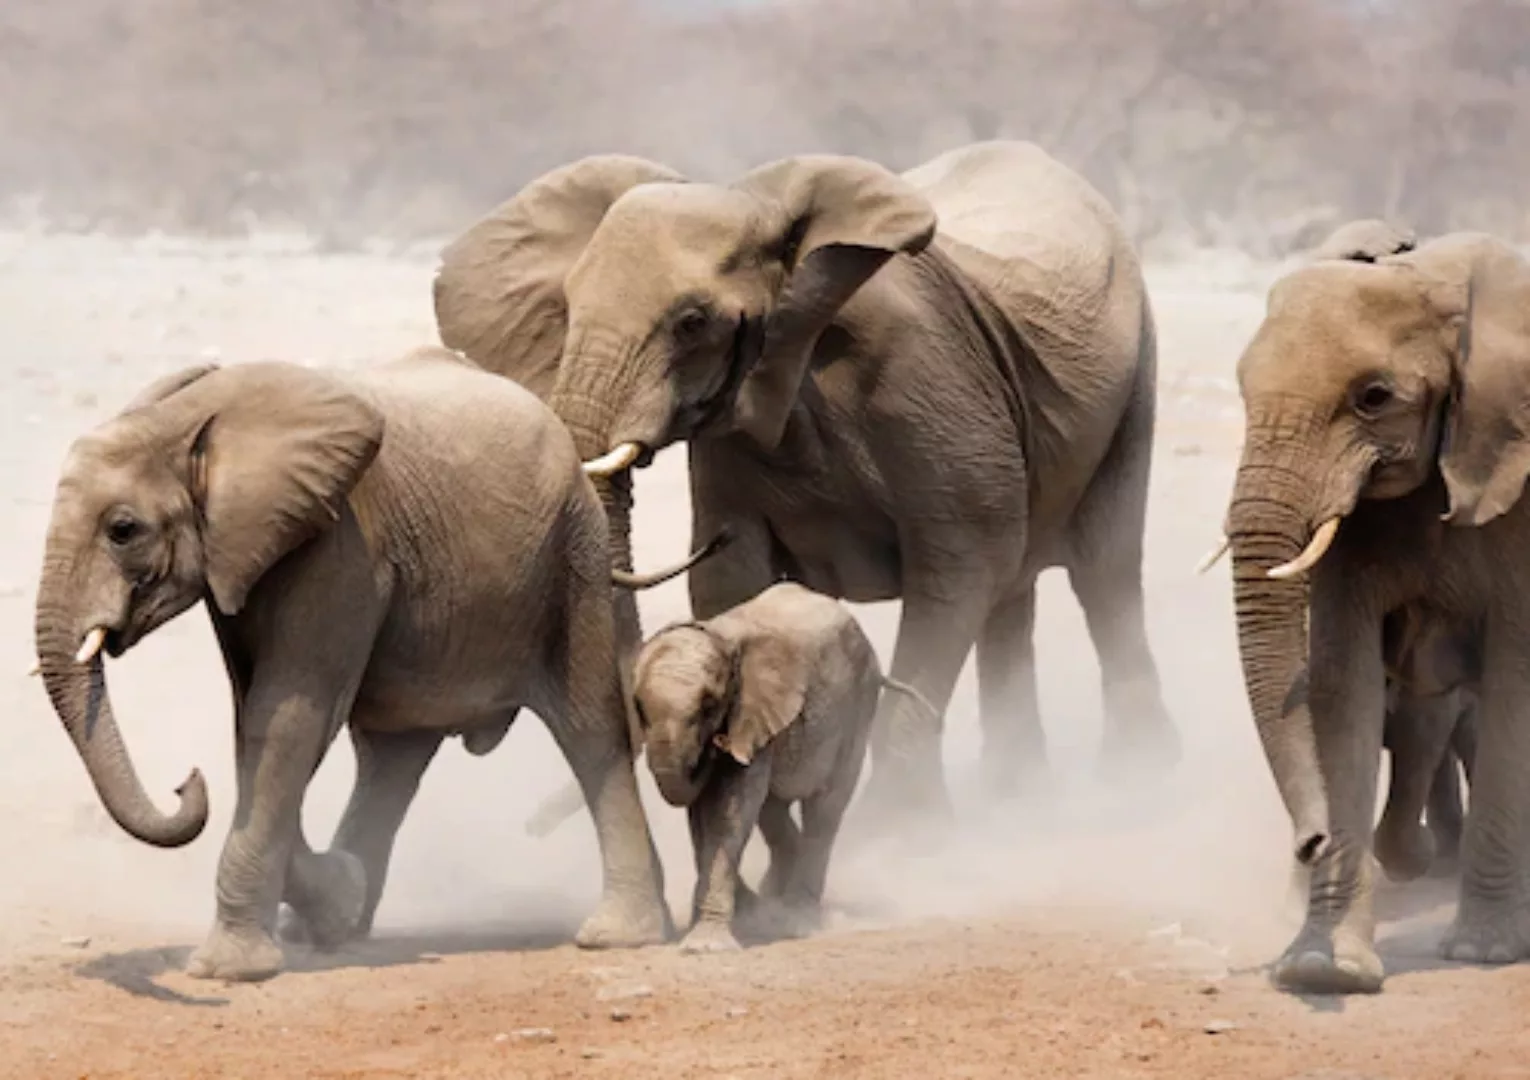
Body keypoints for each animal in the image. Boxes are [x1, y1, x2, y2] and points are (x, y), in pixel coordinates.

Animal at [431, 136, 1181, 826]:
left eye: (692, 322)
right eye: (567, 305)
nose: (531, 824)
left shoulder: (929, 384)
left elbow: (961, 568)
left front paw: (896, 835)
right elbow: (734, 579)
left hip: (1136, 378)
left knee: (1103, 571)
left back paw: (1136, 783)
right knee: (1016, 595)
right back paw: (1019, 797)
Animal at [630, 581, 930, 948]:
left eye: (709, 706)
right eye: (638, 707)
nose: (714, 745)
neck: (721, 637)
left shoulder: (753, 714)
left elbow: (729, 812)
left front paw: (704, 946)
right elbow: (710, 813)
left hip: (859, 706)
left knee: (824, 810)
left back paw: (798, 921)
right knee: (773, 810)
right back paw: (775, 901)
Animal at [1224, 229, 1530, 991]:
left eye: (1373, 397)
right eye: (1243, 388)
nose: (1309, 840)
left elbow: (1514, 684)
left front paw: (1483, 953)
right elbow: (1343, 687)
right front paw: (1322, 969)